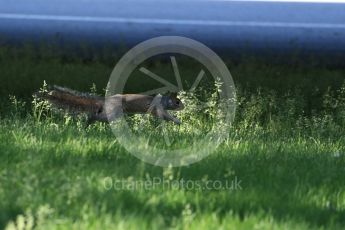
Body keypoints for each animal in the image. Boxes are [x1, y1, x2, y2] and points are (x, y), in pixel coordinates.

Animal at [36, 85, 184, 125]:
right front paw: (177, 121)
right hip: (113, 113)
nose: (183, 107)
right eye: (177, 102)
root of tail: (105, 100)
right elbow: (166, 116)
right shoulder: (159, 109)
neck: (163, 101)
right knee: (98, 117)